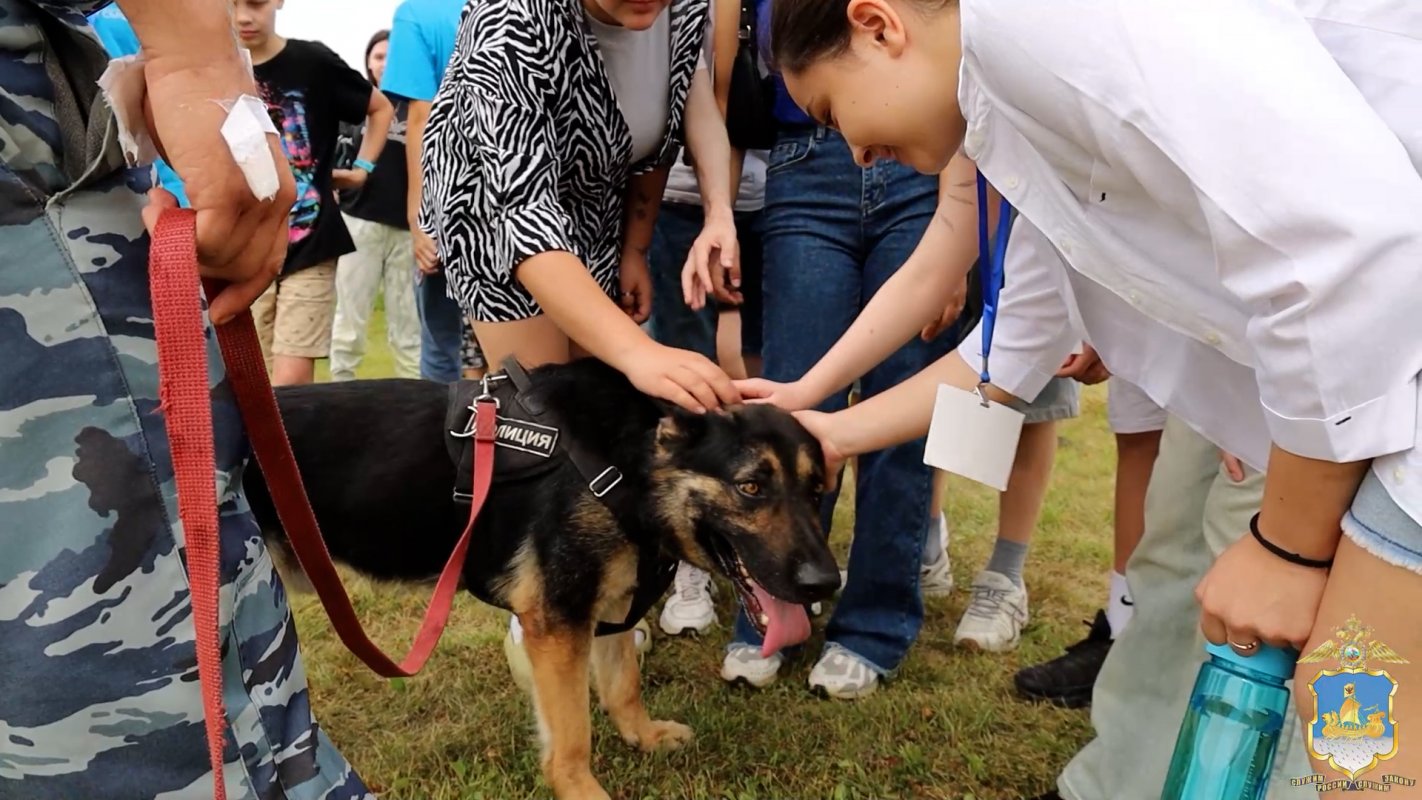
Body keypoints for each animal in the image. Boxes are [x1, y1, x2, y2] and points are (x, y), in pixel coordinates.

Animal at [243, 358, 841, 800]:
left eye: (817, 489)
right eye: (751, 488)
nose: (825, 584)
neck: (628, 461)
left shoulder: (610, 606)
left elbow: (623, 685)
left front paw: (642, 736)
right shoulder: (559, 624)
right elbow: (572, 735)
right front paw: (581, 790)